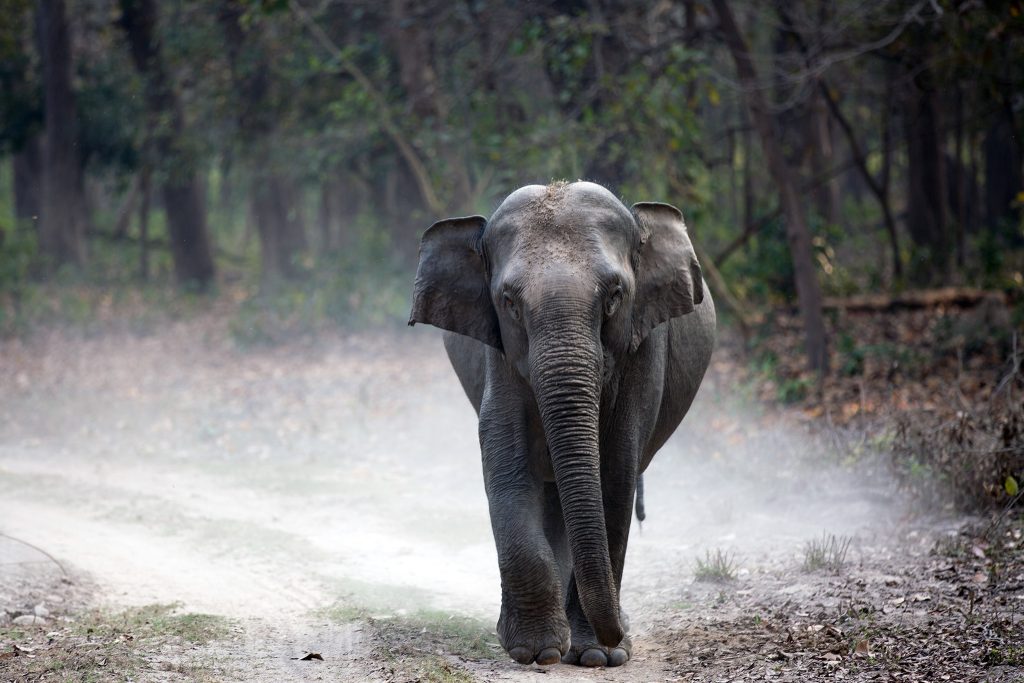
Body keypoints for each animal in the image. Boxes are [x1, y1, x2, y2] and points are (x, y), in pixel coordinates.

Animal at [409, 181, 715, 668]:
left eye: (614, 296)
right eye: (509, 303)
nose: (617, 637)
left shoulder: (643, 347)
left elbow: (615, 471)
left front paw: (596, 656)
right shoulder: (499, 354)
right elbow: (506, 460)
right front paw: (537, 652)